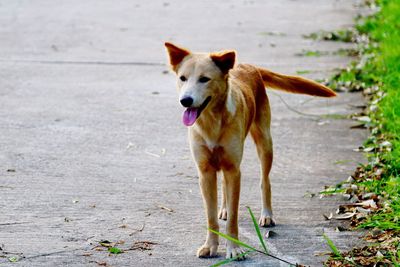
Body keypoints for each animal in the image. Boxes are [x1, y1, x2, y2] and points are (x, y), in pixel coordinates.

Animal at [164, 43, 336, 260]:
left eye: (204, 79)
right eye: (182, 78)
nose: (185, 100)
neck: (212, 121)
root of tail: (248, 66)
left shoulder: (234, 171)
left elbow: (233, 219)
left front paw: (234, 249)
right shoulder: (205, 172)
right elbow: (211, 217)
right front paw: (210, 246)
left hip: (265, 143)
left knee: (265, 181)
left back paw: (267, 215)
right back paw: (224, 209)